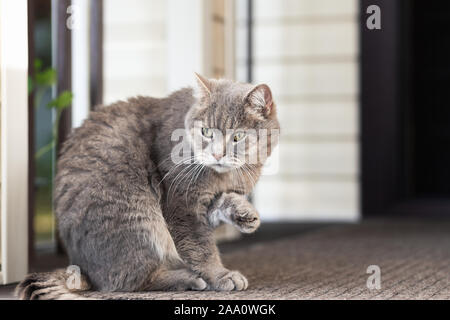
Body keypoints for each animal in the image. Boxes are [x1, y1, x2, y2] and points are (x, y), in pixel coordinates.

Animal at [16, 74, 278, 298]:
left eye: (237, 137)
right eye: (205, 131)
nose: (216, 154)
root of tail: (80, 266)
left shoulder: (207, 202)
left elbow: (223, 203)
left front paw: (246, 213)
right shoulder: (181, 206)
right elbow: (200, 248)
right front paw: (220, 275)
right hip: (140, 219)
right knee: (125, 281)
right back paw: (187, 278)